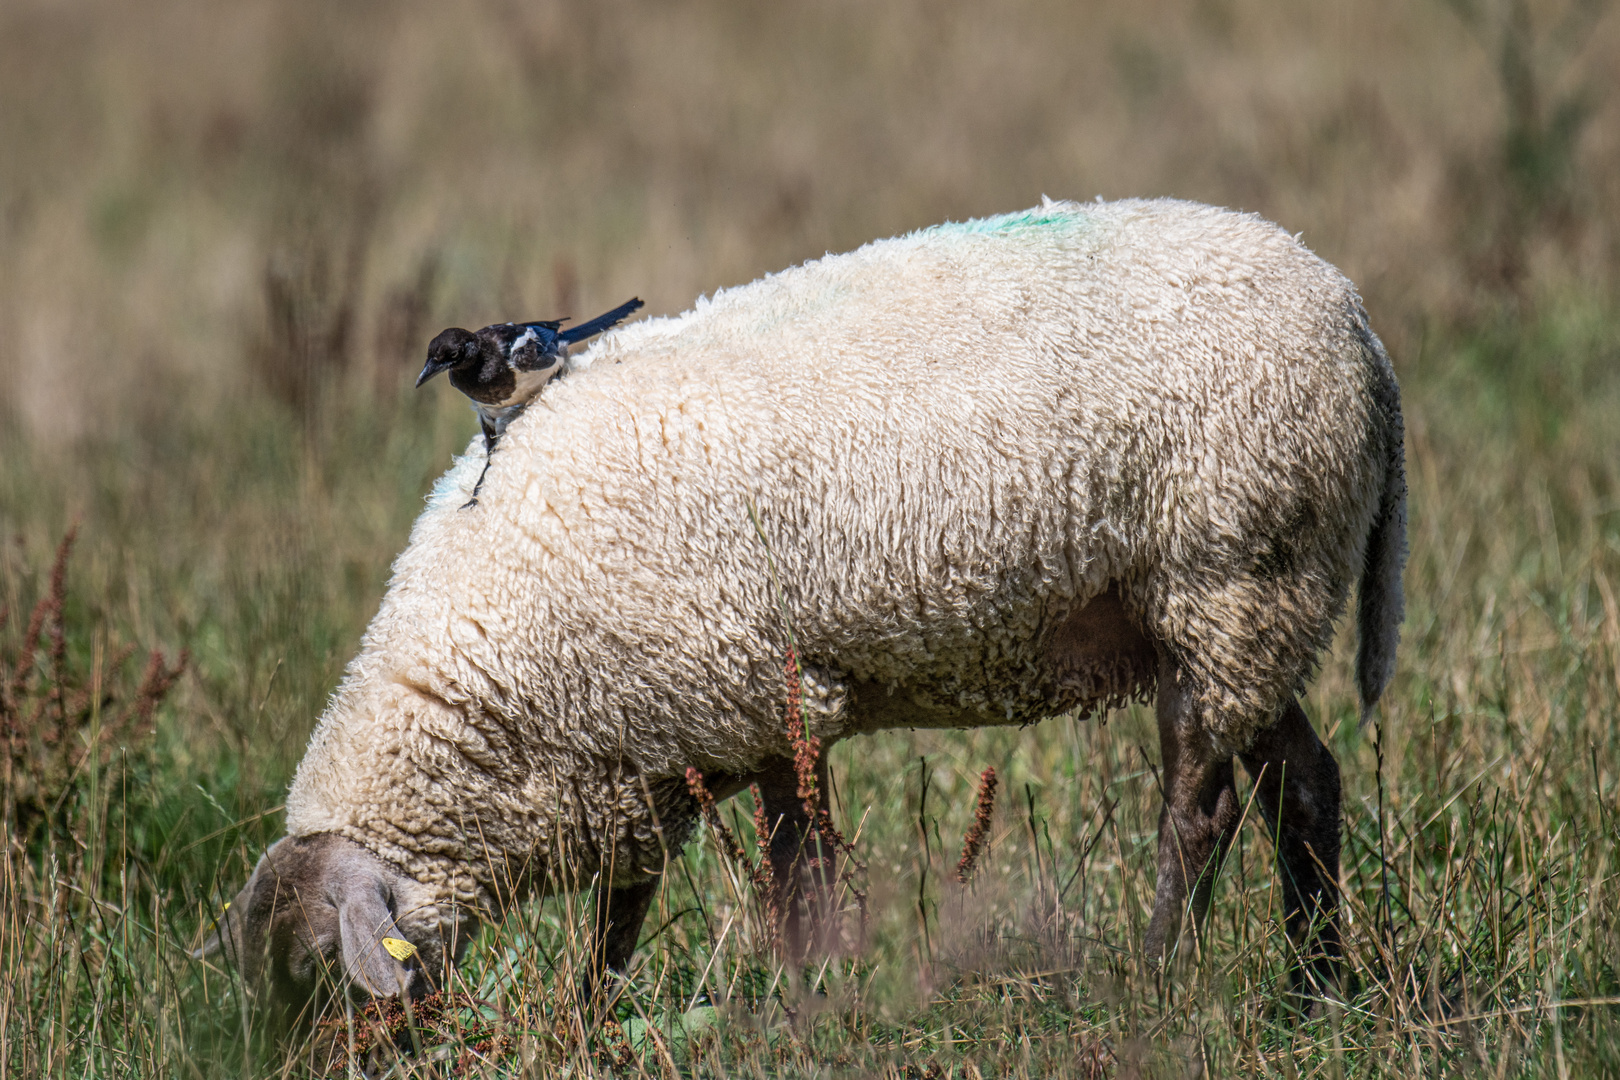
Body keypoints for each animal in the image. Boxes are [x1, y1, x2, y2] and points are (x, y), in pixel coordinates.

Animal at [202, 198, 1406, 1016]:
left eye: (317, 972)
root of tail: (1356, 318)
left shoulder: (756, 700)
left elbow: (795, 889)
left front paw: (805, 1013)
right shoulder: (653, 741)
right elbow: (627, 907)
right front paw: (596, 1018)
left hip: (1228, 577)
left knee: (1198, 812)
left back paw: (1155, 983)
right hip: (1257, 610)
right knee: (1305, 782)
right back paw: (1316, 988)